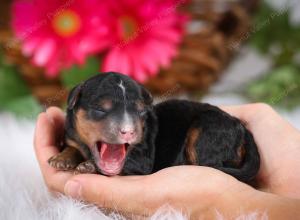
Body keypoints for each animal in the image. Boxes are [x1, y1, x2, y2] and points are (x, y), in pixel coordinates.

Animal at [49, 72, 260, 182]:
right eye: (101, 109)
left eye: (141, 111)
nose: (129, 131)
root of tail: (242, 127)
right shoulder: (72, 137)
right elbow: (72, 147)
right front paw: (61, 159)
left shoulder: (142, 158)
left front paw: (88, 165)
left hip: (206, 130)